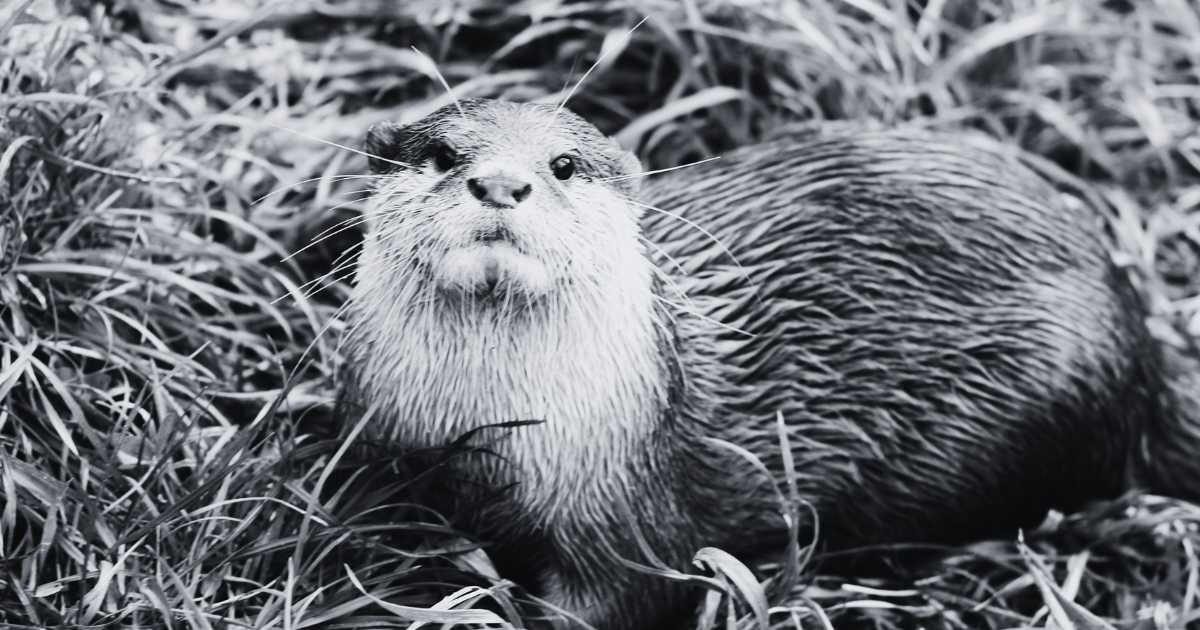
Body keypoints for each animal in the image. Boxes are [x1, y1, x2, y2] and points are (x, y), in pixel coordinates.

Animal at [339, 98, 1200, 629]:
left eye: (561, 166)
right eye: (440, 154)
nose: (500, 182)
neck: (493, 434)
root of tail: (1147, 361)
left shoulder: (629, 511)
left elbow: (621, 597)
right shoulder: (390, 459)